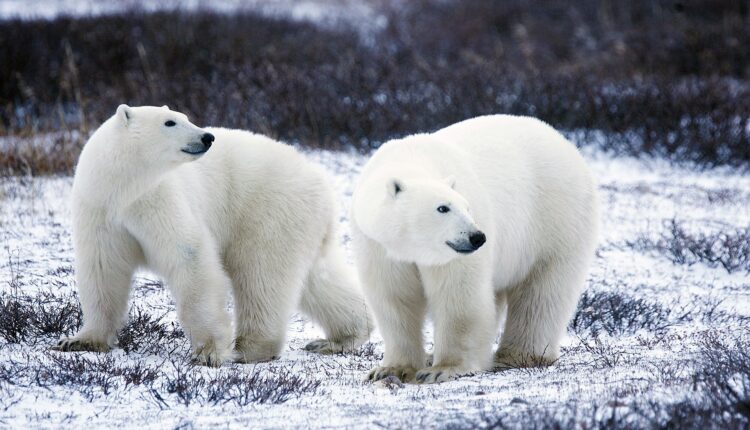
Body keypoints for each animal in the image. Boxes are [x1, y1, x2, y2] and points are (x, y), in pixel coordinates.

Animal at [50, 105, 374, 366]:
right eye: (170, 121)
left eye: (185, 117)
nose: (207, 137)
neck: (123, 188)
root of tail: (321, 181)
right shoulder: (100, 209)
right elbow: (103, 269)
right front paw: (78, 341)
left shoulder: (158, 199)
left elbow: (190, 256)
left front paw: (208, 352)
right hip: (301, 222)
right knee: (317, 278)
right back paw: (340, 338)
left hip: (268, 209)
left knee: (261, 274)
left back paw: (249, 348)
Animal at [352, 114, 600, 382]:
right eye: (443, 208)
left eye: (467, 207)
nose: (477, 237)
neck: (411, 159)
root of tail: (566, 143)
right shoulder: (378, 246)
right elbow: (394, 298)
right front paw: (390, 369)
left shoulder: (453, 255)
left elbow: (459, 296)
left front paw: (442, 369)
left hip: (555, 219)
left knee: (542, 292)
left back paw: (518, 356)